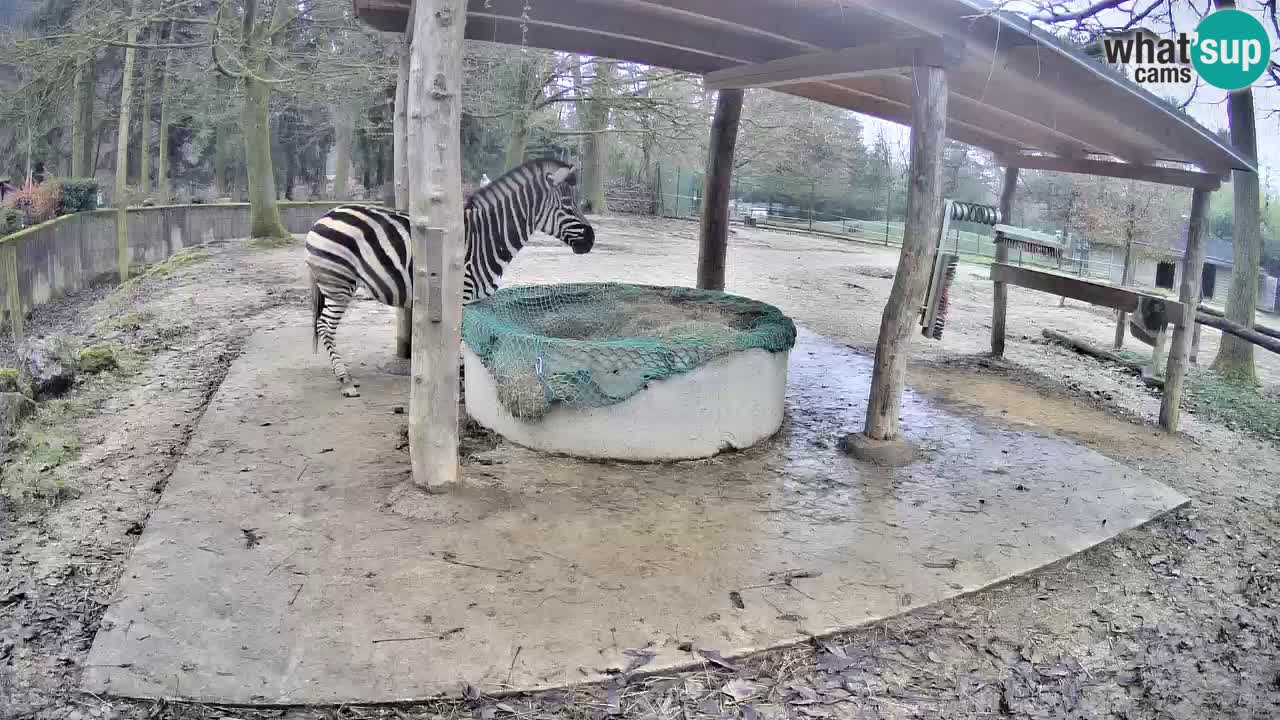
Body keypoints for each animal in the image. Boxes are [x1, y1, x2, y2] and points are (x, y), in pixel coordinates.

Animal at [304, 158, 595, 398]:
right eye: (568, 204)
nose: (591, 240)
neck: (487, 237)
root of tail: (323, 216)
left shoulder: (477, 300)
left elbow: (480, 340)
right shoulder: (461, 295)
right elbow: (460, 342)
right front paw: (457, 382)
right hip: (338, 283)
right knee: (325, 326)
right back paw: (345, 381)